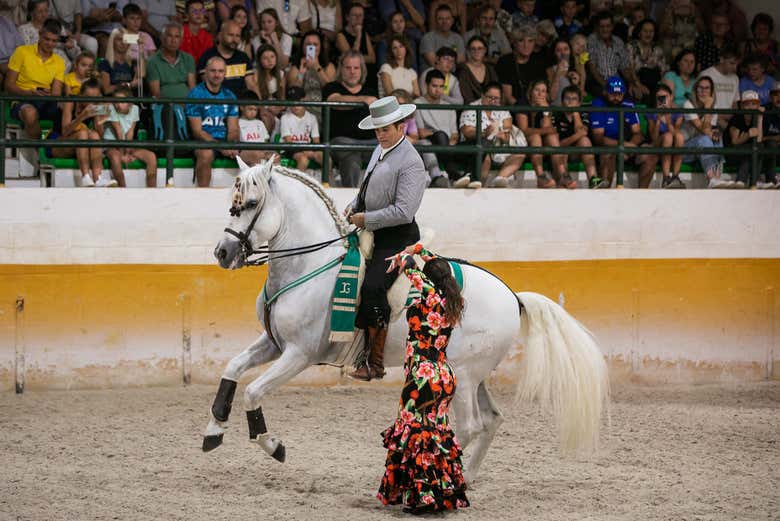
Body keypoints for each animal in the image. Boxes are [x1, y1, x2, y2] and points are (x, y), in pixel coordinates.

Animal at [201, 156, 608, 482]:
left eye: (251, 203)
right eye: (232, 204)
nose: (223, 252)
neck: (310, 266)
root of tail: (513, 297)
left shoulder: (299, 354)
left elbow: (253, 391)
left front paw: (273, 444)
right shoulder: (273, 342)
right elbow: (233, 369)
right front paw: (214, 429)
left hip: (465, 374)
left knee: (472, 425)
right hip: (473, 374)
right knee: (492, 420)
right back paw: (467, 478)